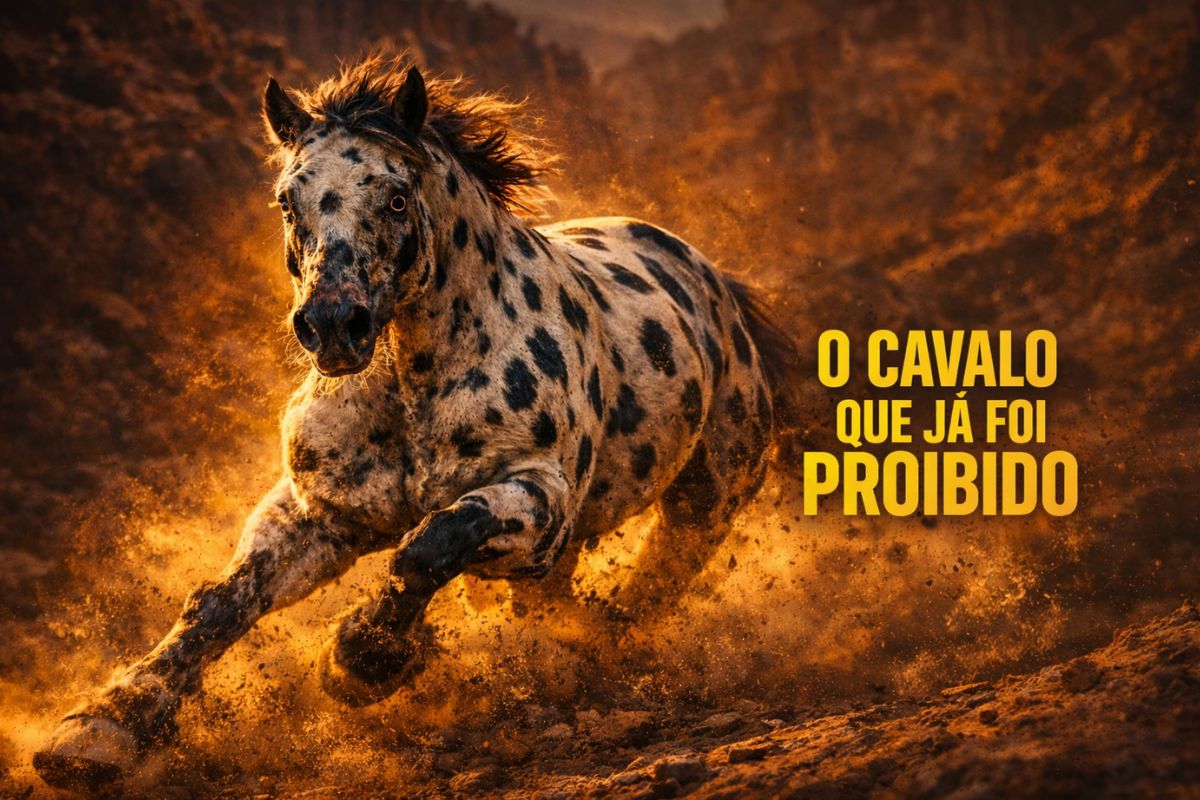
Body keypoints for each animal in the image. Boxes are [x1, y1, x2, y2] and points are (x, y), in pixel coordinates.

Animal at [34, 55, 797, 791]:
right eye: (287, 200)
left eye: (396, 196)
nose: (333, 325)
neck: (412, 386)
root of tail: (718, 290)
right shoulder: (320, 512)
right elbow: (221, 601)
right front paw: (97, 734)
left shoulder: (537, 501)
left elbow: (431, 543)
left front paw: (359, 661)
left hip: (703, 504)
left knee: (649, 589)